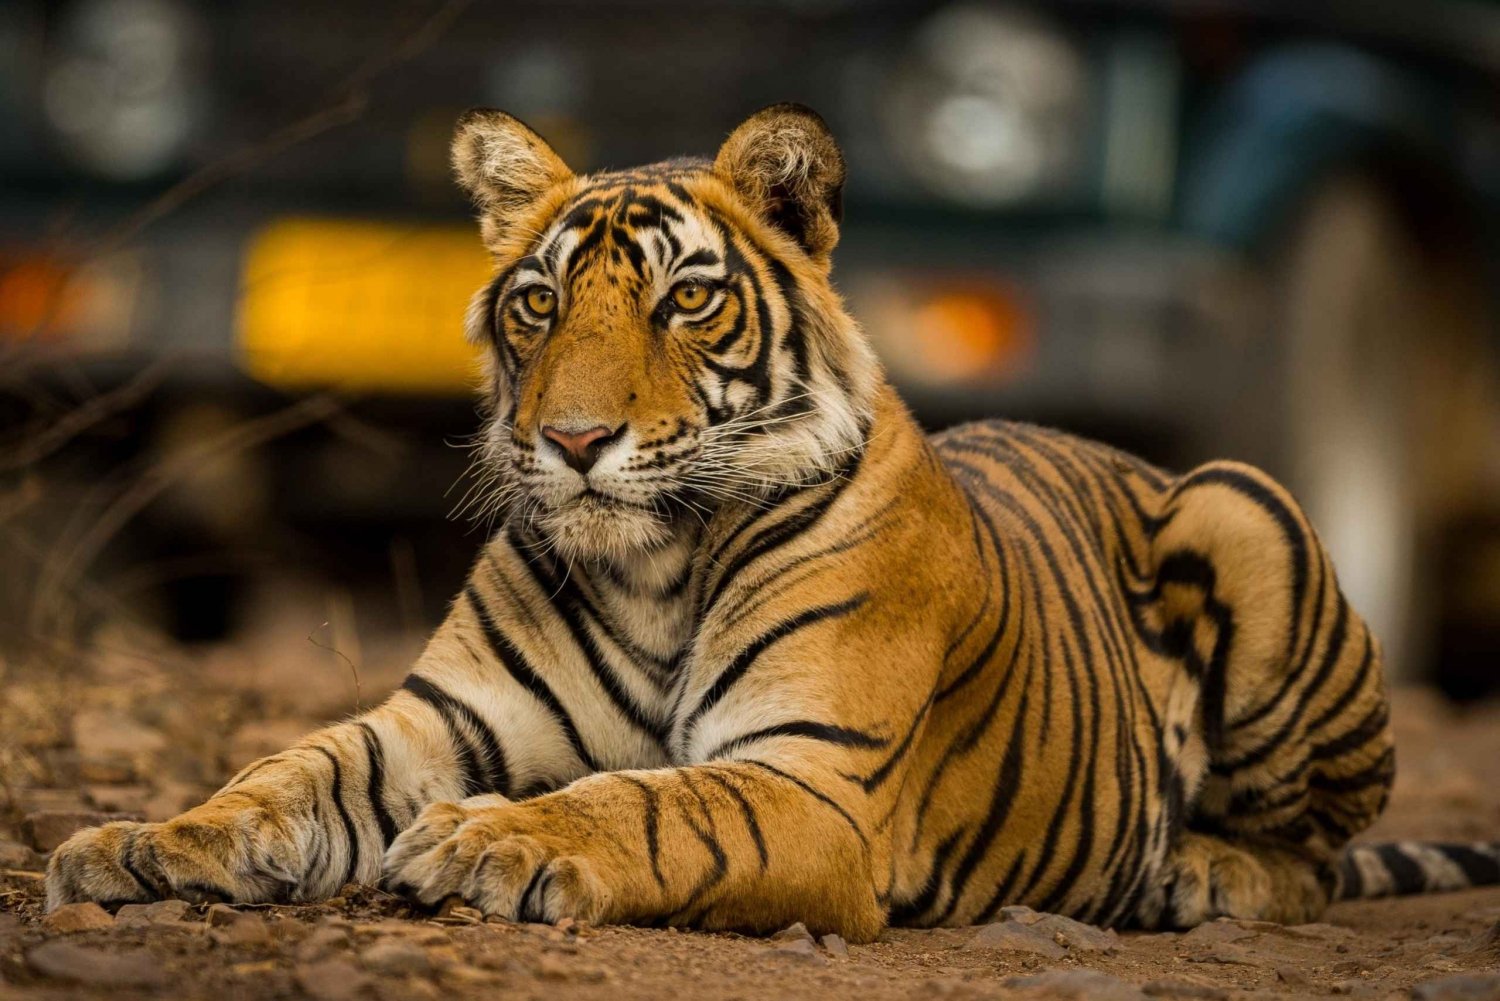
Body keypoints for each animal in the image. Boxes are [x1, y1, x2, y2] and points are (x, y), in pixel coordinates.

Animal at [47, 104, 1500, 942]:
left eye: (686, 300)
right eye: (537, 304)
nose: (574, 443)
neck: (651, 562)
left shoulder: (811, 777)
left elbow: (643, 803)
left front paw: (494, 836)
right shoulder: (438, 721)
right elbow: (287, 769)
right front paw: (141, 841)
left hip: (1245, 505)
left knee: (1318, 849)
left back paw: (1204, 877)